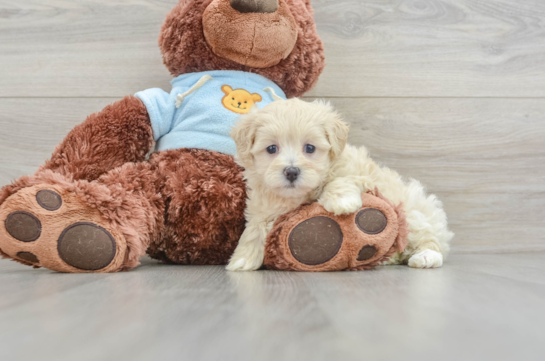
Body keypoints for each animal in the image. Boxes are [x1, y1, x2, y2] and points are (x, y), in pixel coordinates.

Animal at [227, 97, 452, 270]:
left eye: (310, 148)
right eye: (272, 148)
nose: (291, 171)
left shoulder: (363, 175)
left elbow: (340, 179)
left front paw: (341, 201)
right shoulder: (263, 204)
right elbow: (255, 228)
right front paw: (242, 259)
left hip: (414, 213)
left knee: (428, 239)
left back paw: (426, 256)